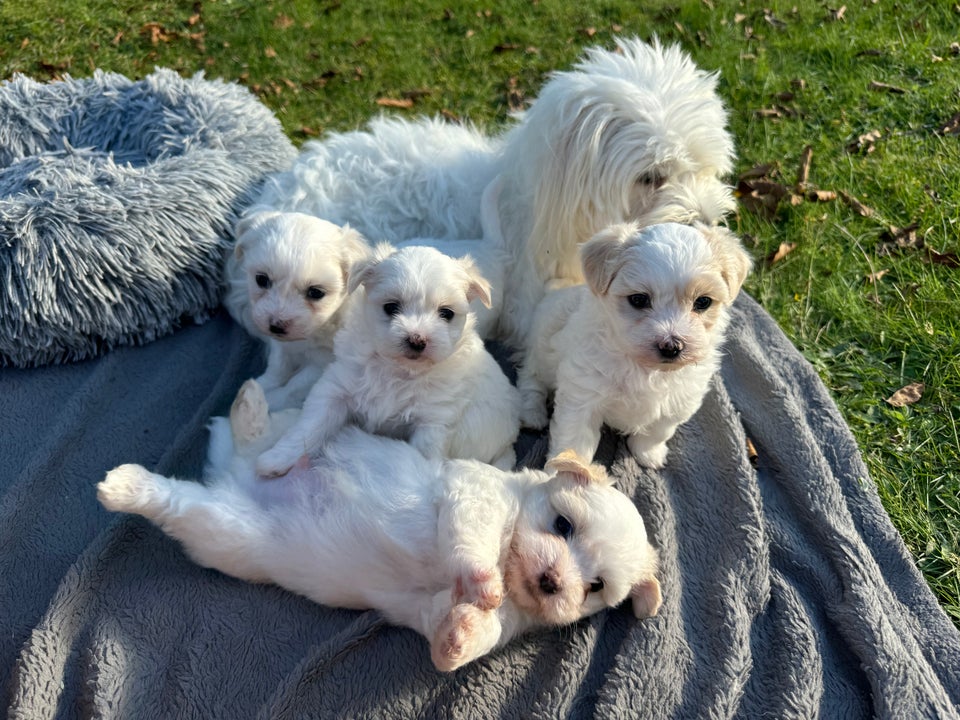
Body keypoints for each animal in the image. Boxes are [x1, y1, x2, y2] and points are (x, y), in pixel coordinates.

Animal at [97, 382, 660, 676]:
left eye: (595, 587)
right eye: (563, 525)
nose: (552, 583)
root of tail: (233, 474)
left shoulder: (449, 611)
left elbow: (473, 629)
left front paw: (460, 636)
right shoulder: (474, 492)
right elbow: (473, 540)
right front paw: (484, 582)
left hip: (224, 530)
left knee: (190, 493)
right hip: (290, 439)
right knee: (260, 438)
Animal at [225, 211, 372, 408]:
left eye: (316, 292)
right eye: (261, 279)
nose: (276, 326)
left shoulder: (324, 361)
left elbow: (295, 385)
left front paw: (269, 400)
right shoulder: (281, 346)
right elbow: (278, 367)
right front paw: (263, 385)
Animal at [255, 243, 520, 478]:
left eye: (446, 313)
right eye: (391, 307)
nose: (417, 339)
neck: (398, 369)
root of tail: (509, 442)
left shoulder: (433, 422)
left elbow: (419, 455)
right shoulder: (335, 390)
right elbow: (308, 427)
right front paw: (275, 459)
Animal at [516, 224, 752, 466]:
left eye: (703, 302)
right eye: (639, 300)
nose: (671, 346)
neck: (645, 369)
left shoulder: (679, 402)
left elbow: (658, 431)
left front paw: (649, 454)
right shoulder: (582, 396)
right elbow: (573, 442)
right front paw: (562, 471)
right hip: (542, 350)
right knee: (530, 378)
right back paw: (532, 412)